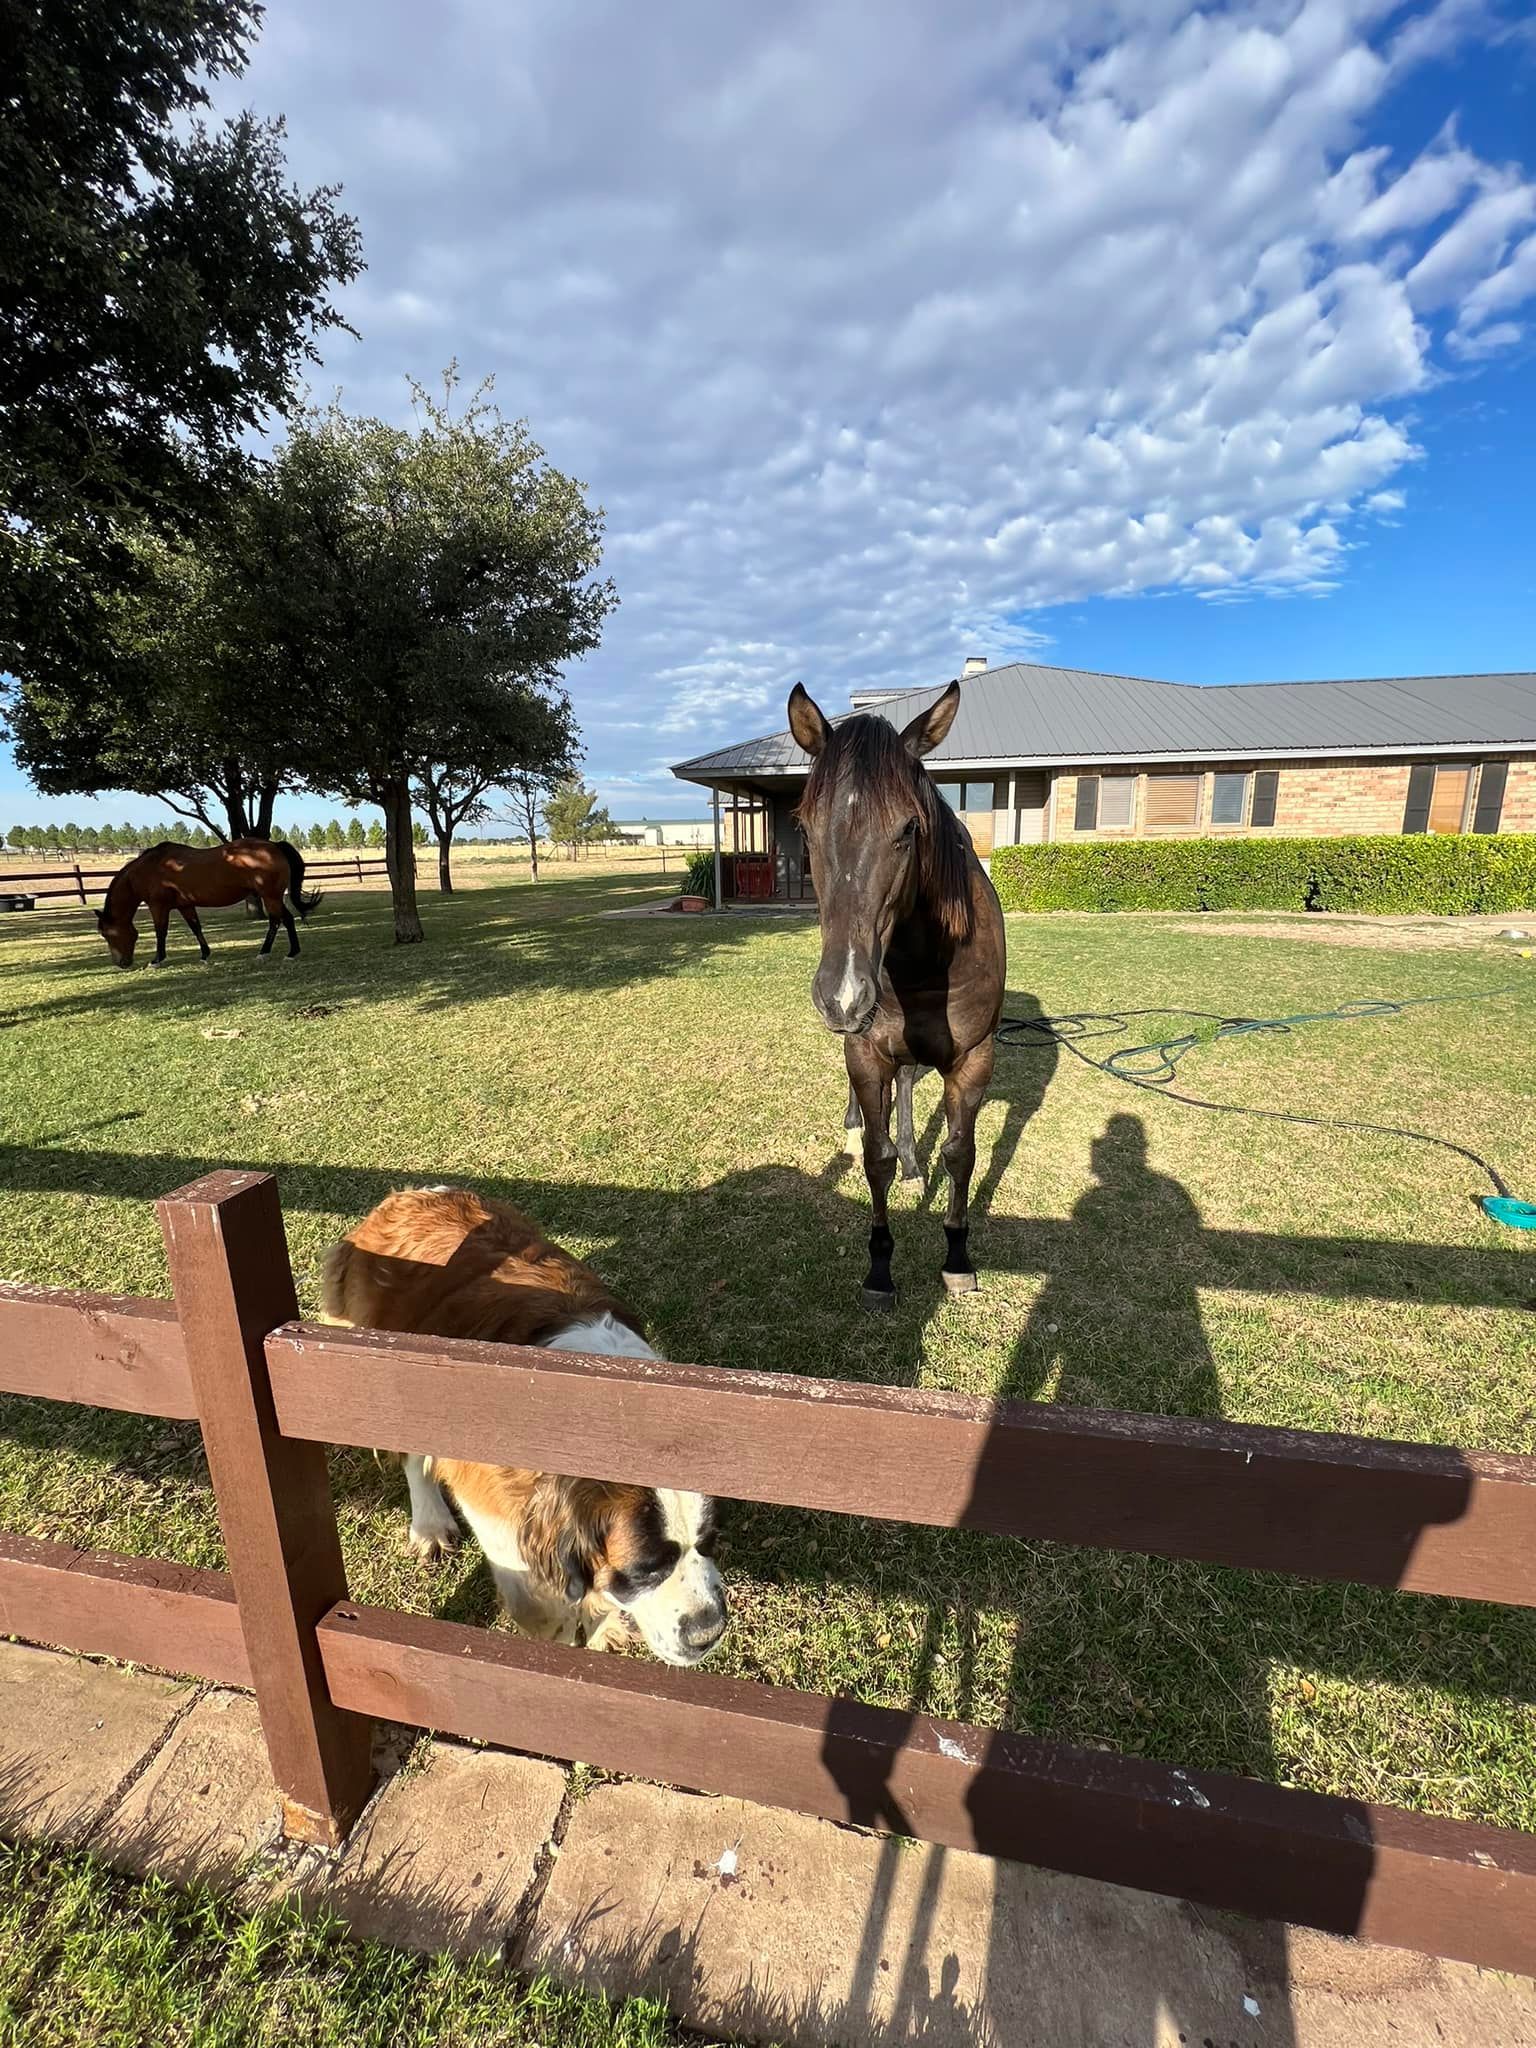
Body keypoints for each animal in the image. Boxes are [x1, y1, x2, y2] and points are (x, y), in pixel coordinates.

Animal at [95, 839, 319, 967]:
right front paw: (205, 955)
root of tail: (274, 845)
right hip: (271, 896)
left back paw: (277, 953)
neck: (149, 868)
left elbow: (161, 931)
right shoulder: (185, 905)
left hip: (270, 896)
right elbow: (196, 927)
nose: (121, 963)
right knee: (281, 920)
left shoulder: (157, 906)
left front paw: (157, 960)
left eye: (107, 934)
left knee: (280, 920)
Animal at [789, 680, 1007, 1307]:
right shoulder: (865, 1051)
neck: (924, 963)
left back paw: (915, 1160)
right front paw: (880, 1268)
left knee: (909, 1086)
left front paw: (957, 1256)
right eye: (805, 827)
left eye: (909, 828)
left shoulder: (974, 1058)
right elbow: (874, 1158)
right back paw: (856, 1126)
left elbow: (960, 1154)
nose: (842, 995)